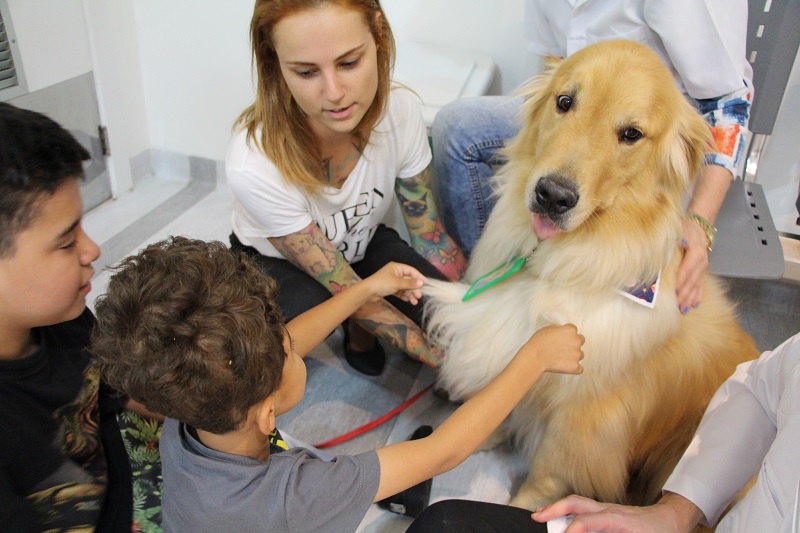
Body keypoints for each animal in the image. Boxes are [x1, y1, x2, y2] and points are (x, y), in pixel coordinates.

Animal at [423, 40, 759, 510]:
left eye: (632, 134)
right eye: (565, 102)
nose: (553, 195)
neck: (557, 263)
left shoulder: (587, 419)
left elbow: (546, 473)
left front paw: (526, 509)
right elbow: (503, 397)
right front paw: (481, 432)